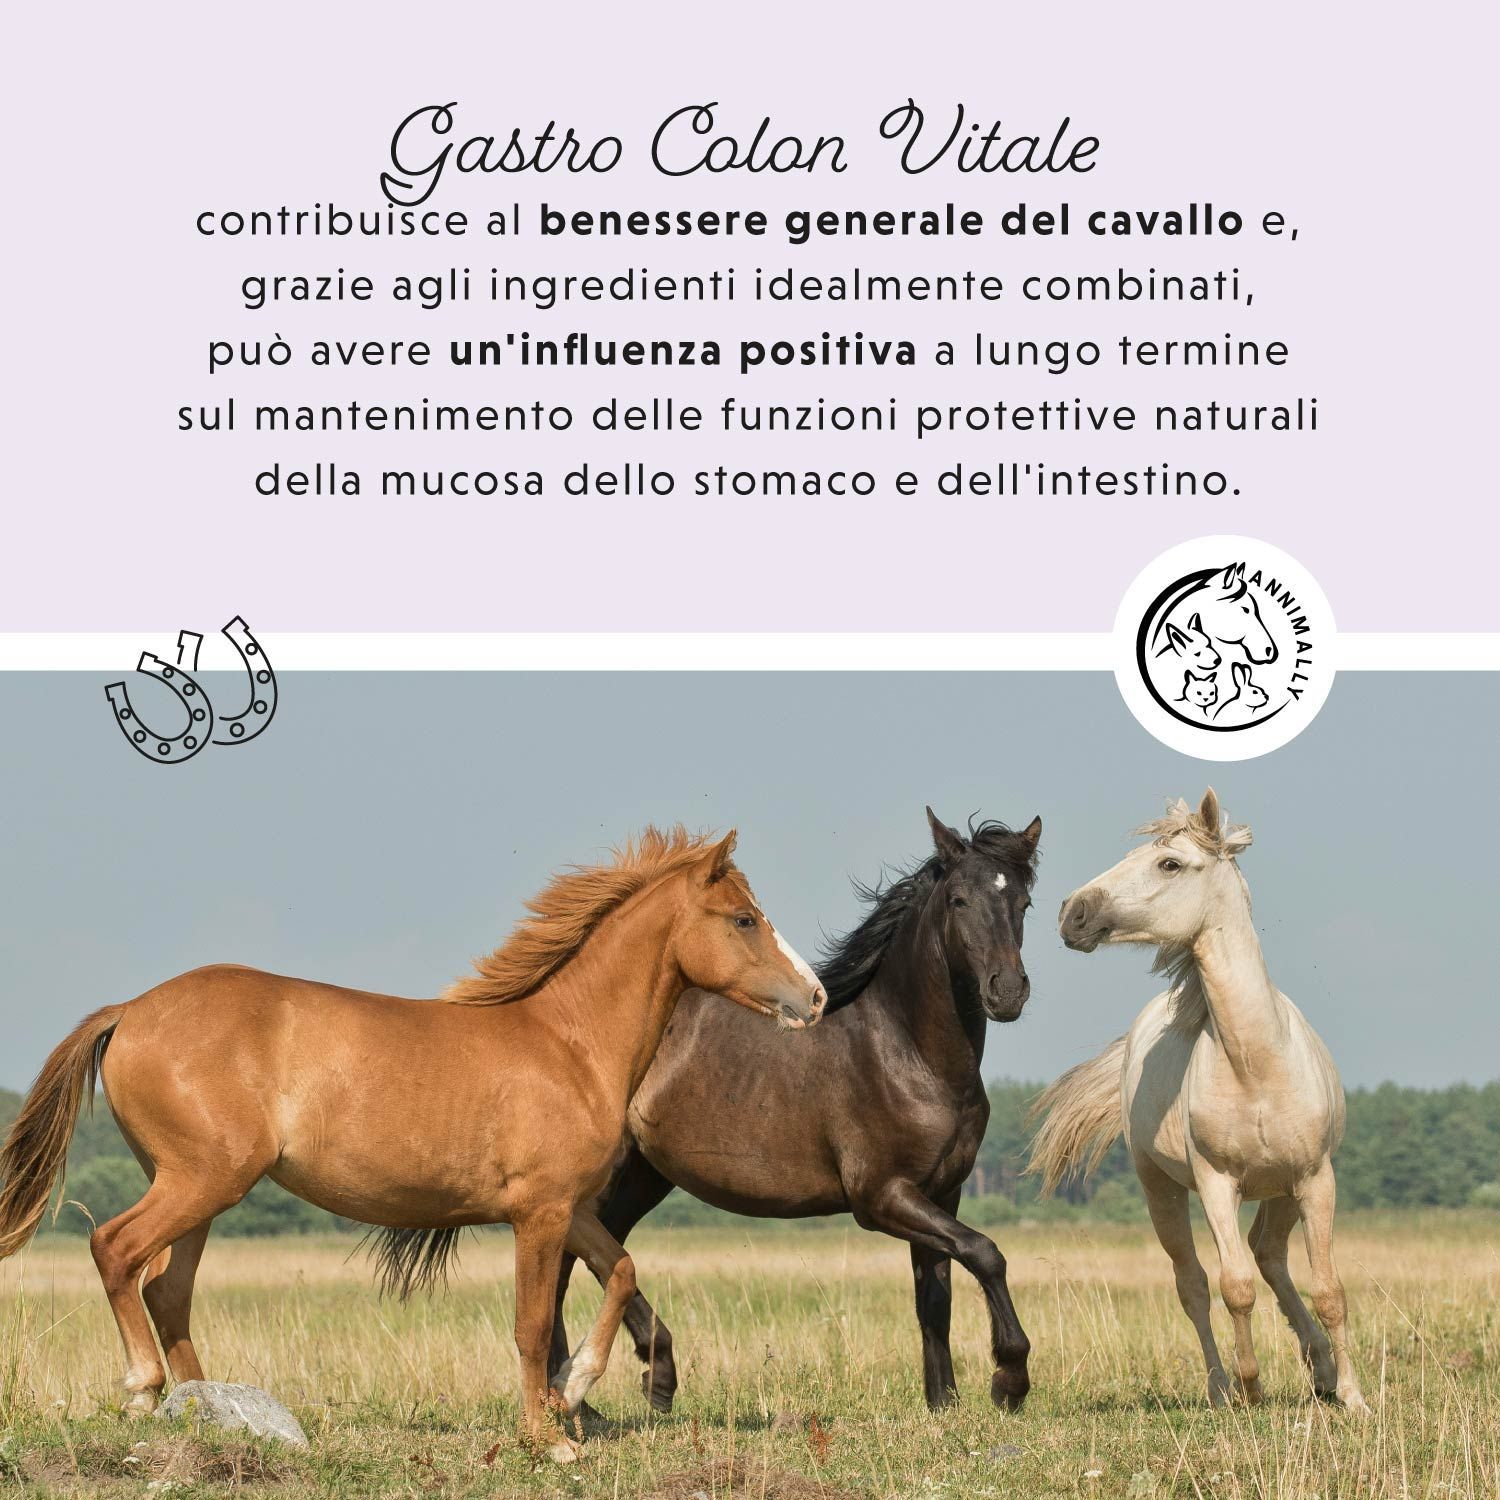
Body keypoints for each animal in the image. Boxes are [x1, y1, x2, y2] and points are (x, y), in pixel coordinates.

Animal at [0, 826, 826, 1461]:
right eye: (744, 919)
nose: (814, 997)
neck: (568, 1044)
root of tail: (129, 1009)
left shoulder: (567, 1209)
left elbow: (621, 1272)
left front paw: (574, 1391)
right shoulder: (537, 1214)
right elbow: (531, 1324)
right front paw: (546, 1437)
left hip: (200, 1190)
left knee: (167, 1288)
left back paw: (209, 1412)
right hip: (200, 1180)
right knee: (116, 1249)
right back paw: (143, 1391)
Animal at [550, 808, 1042, 1414]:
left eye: (1023, 902)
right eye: (958, 900)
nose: (1007, 992)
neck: (907, 1053)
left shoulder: (940, 1194)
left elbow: (935, 1299)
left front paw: (942, 1403)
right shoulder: (882, 1197)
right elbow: (985, 1252)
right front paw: (1009, 1379)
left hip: (644, 1176)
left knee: (597, 1254)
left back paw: (627, 1384)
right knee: (566, 1261)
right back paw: (592, 1390)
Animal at [1029, 791, 1366, 1411]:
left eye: (1170, 864)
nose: (1072, 912)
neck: (1257, 1064)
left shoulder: (1315, 1179)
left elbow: (1329, 1288)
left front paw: (1354, 1398)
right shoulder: (1215, 1184)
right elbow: (1234, 1287)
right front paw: (1251, 1387)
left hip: (1283, 1190)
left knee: (1270, 1254)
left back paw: (1322, 1370)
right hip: (1161, 1189)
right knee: (1195, 1284)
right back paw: (1221, 1387)